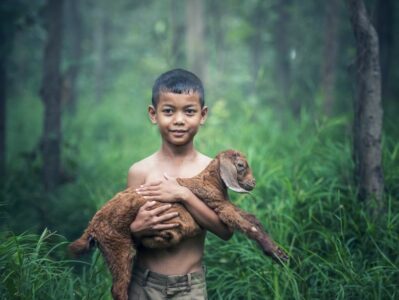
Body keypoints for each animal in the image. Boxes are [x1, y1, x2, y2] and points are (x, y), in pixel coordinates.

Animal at [69, 150, 288, 300]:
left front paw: (277, 252)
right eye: (241, 165)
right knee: (118, 288)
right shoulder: (219, 207)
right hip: (118, 246)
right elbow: (249, 226)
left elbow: (252, 218)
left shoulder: (224, 205)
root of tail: (92, 227)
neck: (210, 182)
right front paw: (276, 253)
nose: (253, 182)